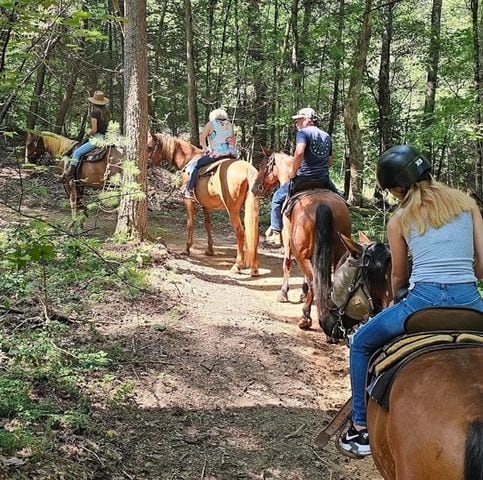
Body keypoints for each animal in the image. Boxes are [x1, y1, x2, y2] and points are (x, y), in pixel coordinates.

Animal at [148, 133, 260, 278]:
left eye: (150, 147)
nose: (145, 165)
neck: (188, 158)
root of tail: (247, 169)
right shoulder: (206, 205)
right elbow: (208, 224)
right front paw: (209, 250)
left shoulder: (188, 200)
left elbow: (190, 223)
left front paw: (187, 248)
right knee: (254, 232)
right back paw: (254, 268)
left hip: (233, 210)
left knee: (240, 232)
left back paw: (237, 266)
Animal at [253, 149, 352, 330]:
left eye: (263, 165)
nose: (255, 188)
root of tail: (323, 205)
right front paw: (302, 294)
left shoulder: (288, 240)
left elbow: (286, 263)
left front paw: (283, 294)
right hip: (338, 254)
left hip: (300, 252)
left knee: (313, 280)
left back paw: (305, 317)